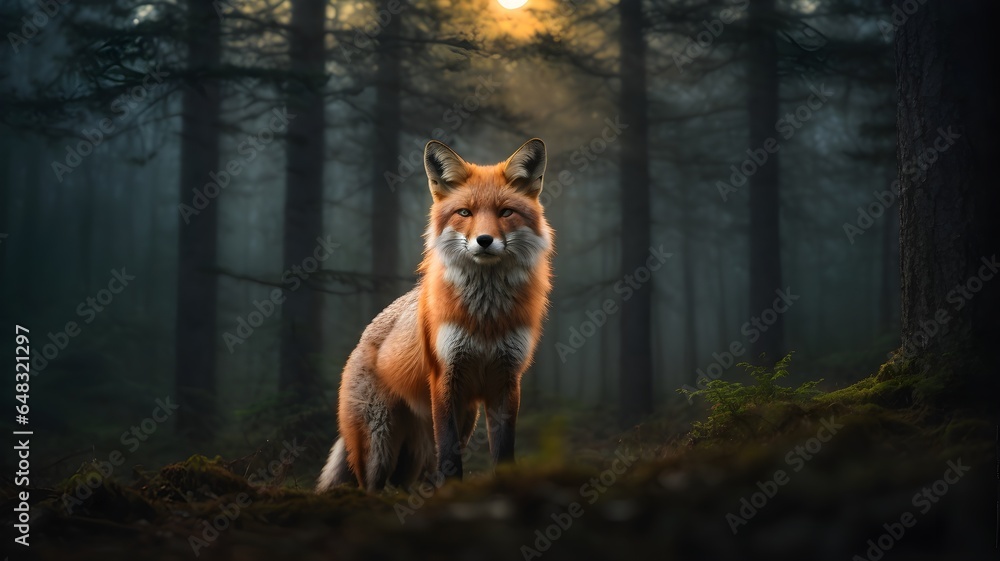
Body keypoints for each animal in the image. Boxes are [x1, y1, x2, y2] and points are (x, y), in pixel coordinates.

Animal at [316, 138, 553, 492]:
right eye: (465, 212)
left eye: (505, 212)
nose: (484, 241)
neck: (486, 318)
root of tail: (361, 341)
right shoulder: (445, 377)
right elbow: (450, 457)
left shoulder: (507, 380)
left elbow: (503, 451)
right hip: (379, 444)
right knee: (371, 486)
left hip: (443, 435)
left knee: (404, 481)